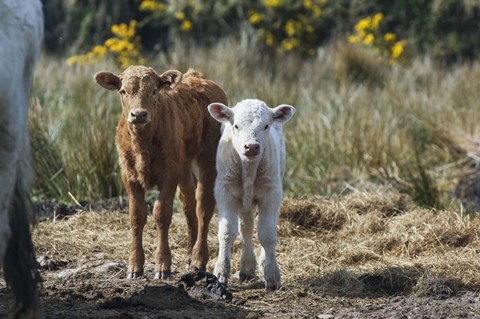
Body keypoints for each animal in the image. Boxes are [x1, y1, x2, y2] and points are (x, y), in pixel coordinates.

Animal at [96, 67, 229, 280]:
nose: (139, 114)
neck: (142, 143)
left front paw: (162, 266)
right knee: (188, 201)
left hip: (208, 158)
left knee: (203, 205)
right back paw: (189, 257)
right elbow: (136, 216)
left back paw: (198, 260)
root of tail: (198, 77)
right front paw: (134, 266)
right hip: (184, 164)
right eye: (123, 91)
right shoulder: (129, 175)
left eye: (154, 91)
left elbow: (161, 214)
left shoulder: (169, 173)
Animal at [208, 99, 294, 292]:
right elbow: (227, 231)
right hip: (243, 201)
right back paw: (247, 268)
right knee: (246, 227)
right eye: (236, 126)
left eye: (266, 126)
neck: (248, 168)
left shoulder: (271, 193)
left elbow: (267, 233)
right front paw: (220, 273)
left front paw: (271, 275)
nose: (252, 146)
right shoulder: (224, 191)